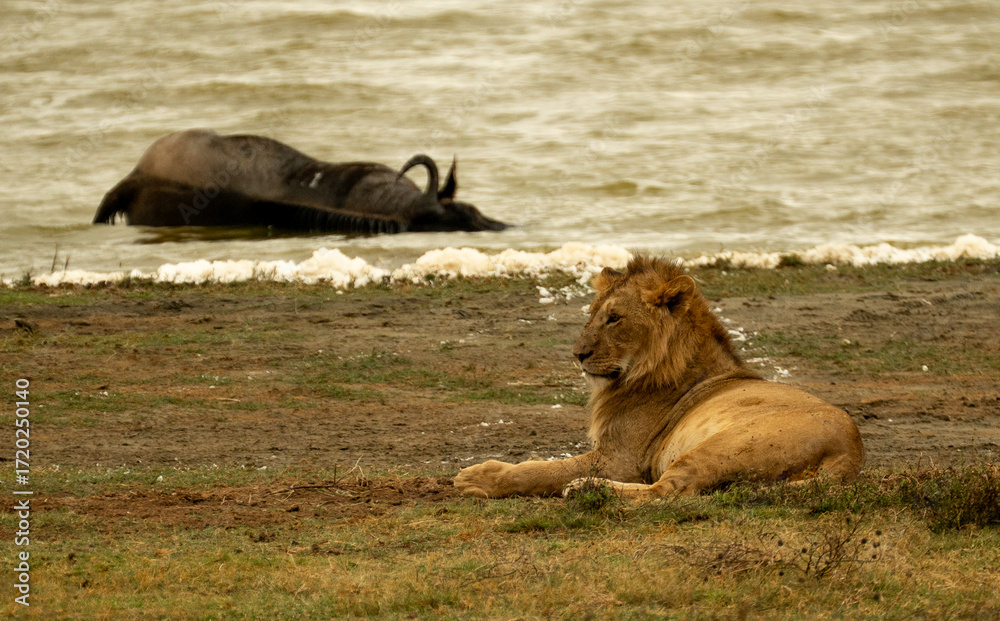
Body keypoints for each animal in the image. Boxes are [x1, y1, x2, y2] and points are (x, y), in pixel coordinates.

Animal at [453, 255, 865, 499]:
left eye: (614, 318)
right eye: (592, 313)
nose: (577, 354)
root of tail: (850, 453)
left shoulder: (620, 460)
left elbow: (543, 471)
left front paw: (479, 478)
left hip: (724, 445)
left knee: (667, 491)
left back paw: (589, 490)